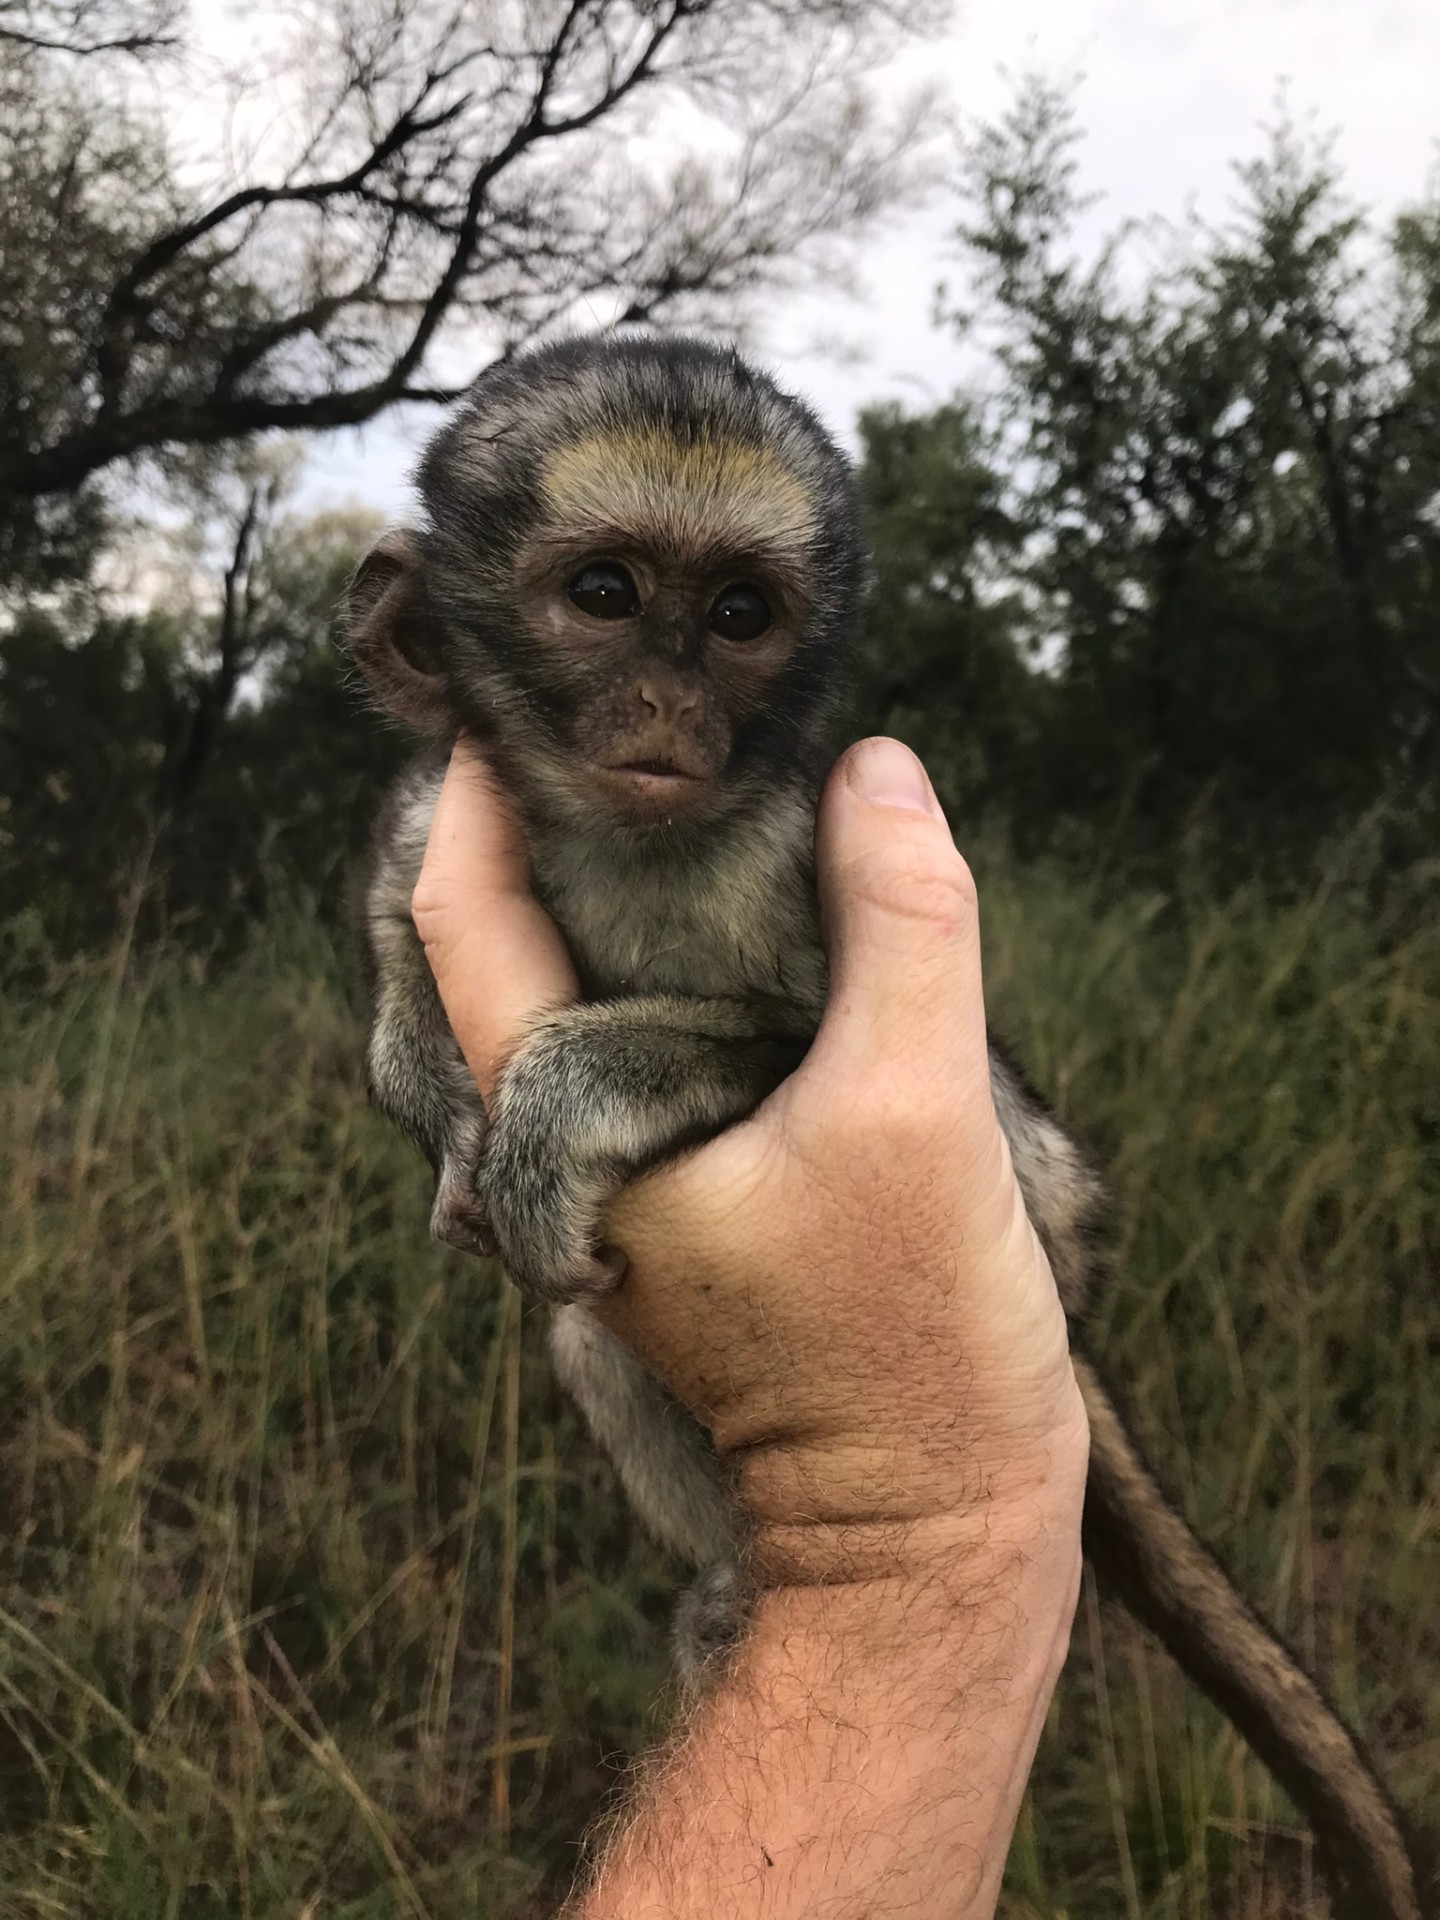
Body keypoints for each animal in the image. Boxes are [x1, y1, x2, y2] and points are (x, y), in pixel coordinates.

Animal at [344, 332, 1428, 1920]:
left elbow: (787, 1044)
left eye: (739, 616)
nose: (670, 705)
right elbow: (400, 898)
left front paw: (549, 1101)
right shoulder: (448, 807)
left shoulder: (769, 856)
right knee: (588, 1335)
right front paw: (429, 1082)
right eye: (607, 595)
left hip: (1049, 1199)